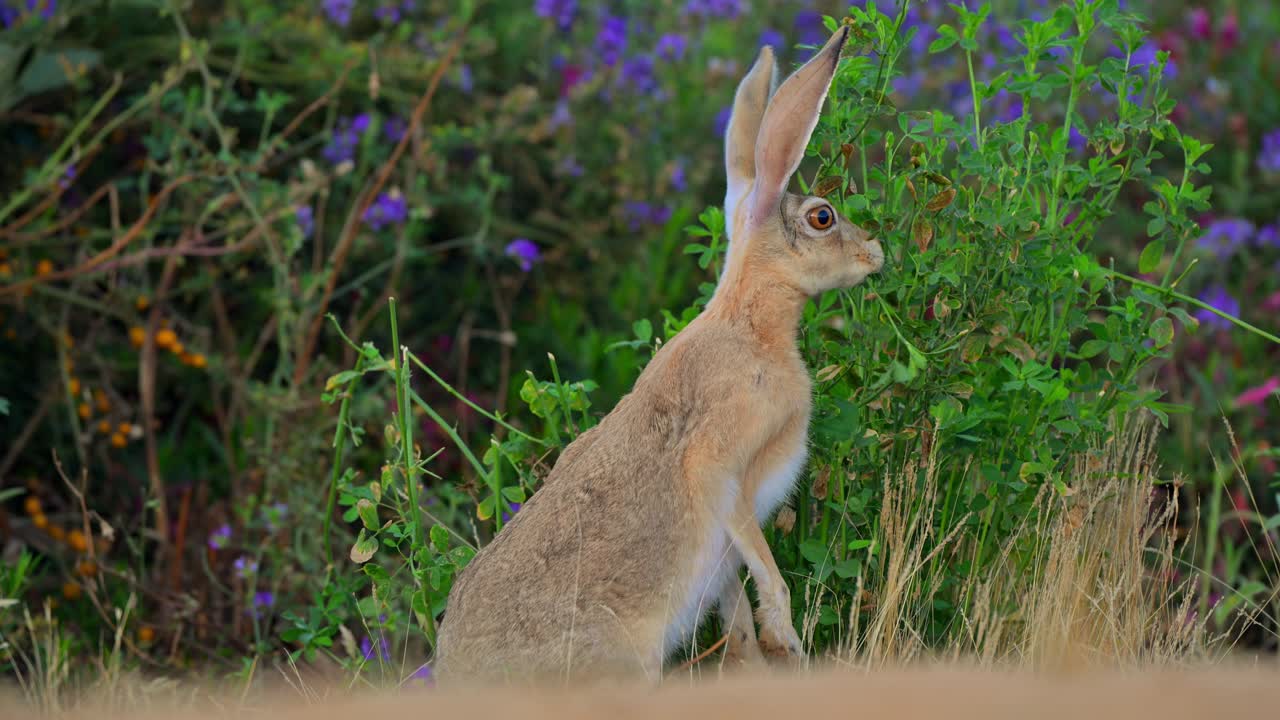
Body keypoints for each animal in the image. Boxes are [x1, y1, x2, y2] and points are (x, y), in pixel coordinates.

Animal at [433, 25, 883, 685]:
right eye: (822, 217)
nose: (876, 252)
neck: (750, 323)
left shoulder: (724, 557)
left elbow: (735, 609)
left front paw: (757, 659)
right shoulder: (723, 465)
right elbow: (764, 571)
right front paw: (785, 641)